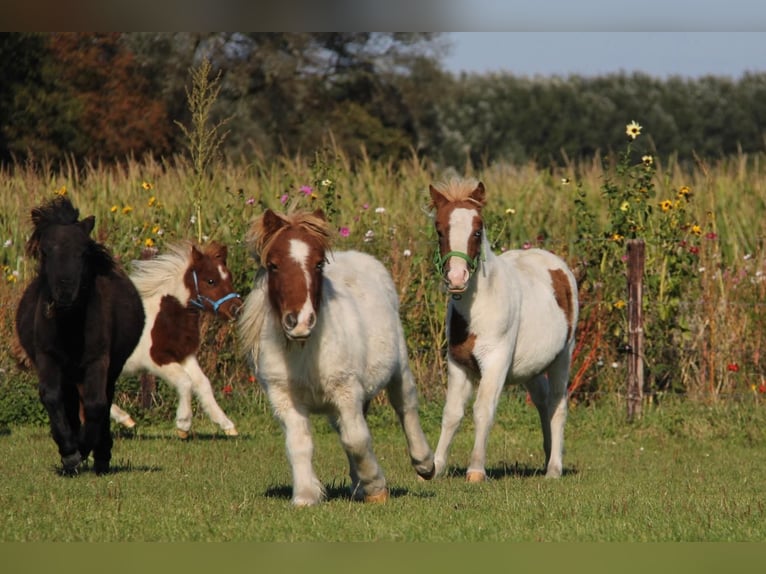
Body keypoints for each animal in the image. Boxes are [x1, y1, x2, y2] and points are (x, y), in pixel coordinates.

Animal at [14, 198, 144, 476]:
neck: (70, 326)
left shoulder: (98, 360)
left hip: (108, 368)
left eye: (83, 253)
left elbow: (96, 404)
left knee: (103, 400)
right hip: (69, 372)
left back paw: (101, 455)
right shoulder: (47, 357)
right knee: (71, 402)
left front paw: (83, 449)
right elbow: (52, 397)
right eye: (45, 252)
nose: (64, 295)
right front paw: (69, 452)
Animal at [111, 241, 242, 438]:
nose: (236, 309)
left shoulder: (185, 355)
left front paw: (227, 426)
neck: (164, 318)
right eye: (210, 281)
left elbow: (203, 384)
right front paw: (183, 425)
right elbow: (185, 382)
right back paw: (126, 419)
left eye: (229, 278)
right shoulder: (157, 360)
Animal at [237, 209, 436, 506]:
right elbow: (300, 444)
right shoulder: (284, 397)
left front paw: (376, 488)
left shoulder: (346, 389)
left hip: (398, 367)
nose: (300, 322)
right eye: (273, 265)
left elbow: (357, 440)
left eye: (319, 264)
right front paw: (306, 496)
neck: (304, 349)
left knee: (405, 406)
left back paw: (424, 464)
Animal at [428, 178, 580, 484]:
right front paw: (434, 467)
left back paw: (554, 469)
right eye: (439, 230)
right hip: (531, 368)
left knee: (557, 405)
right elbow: (452, 413)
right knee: (543, 402)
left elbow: (483, 410)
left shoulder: (495, 360)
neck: (479, 309)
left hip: (562, 357)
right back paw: (548, 455)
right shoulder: (458, 364)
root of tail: (557, 266)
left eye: (477, 230)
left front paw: (476, 470)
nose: (457, 278)